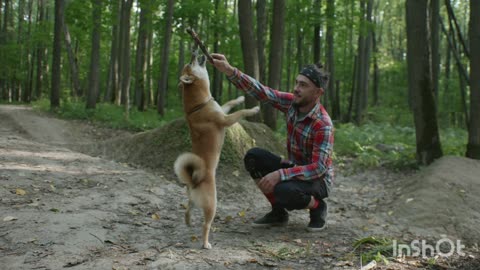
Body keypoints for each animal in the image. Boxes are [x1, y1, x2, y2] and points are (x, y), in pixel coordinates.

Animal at [174, 48, 260, 249]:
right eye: (190, 63)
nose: (194, 50)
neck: (200, 104)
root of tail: (194, 181)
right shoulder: (225, 120)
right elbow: (241, 113)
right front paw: (254, 109)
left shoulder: (222, 109)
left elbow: (231, 103)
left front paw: (241, 97)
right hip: (212, 205)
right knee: (206, 225)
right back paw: (205, 243)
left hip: (193, 199)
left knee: (188, 208)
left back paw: (188, 221)